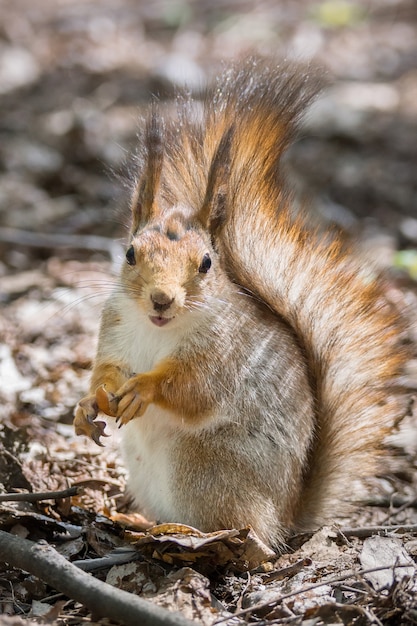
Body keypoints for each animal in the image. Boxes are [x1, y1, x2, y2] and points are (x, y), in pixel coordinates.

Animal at [74, 58, 410, 544]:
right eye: (130, 253)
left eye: (206, 263)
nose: (161, 299)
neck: (158, 331)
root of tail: (286, 516)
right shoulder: (115, 328)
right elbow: (105, 370)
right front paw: (89, 403)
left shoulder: (224, 353)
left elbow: (195, 389)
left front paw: (144, 388)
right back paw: (135, 521)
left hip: (205, 468)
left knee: (245, 532)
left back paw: (192, 534)